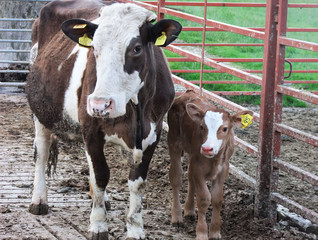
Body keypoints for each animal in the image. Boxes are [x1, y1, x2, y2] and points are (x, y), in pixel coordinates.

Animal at [25, 0, 181, 239]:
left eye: (136, 48)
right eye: (94, 48)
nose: (100, 104)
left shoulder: (153, 133)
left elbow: (137, 182)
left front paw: (135, 228)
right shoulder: (91, 129)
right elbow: (100, 175)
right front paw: (98, 225)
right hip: (41, 112)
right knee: (41, 152)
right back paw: (39, 200)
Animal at [166, 90, 253, 240]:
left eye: (224, 128)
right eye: (202, 127)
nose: (207, 149)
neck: (215, 159)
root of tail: (187, 93)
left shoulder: (223, 168)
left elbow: (217, 199)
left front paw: (215, 232)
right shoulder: (198, 166)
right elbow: (204, 198)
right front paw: (201, 232)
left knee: (190, 177)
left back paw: (189, 210)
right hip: (174, 142)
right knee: (176, 178)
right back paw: (176, 216)